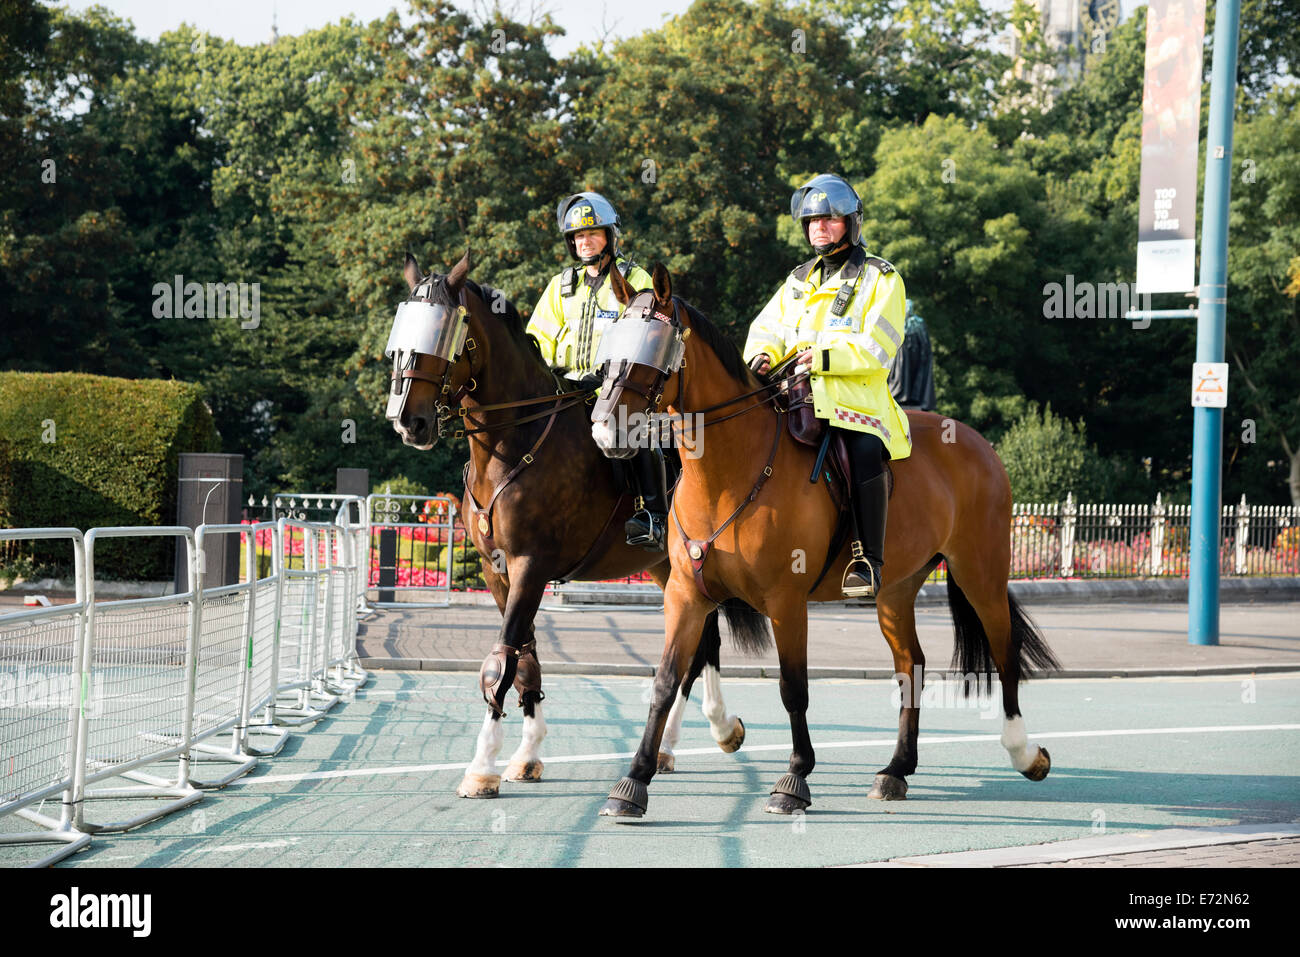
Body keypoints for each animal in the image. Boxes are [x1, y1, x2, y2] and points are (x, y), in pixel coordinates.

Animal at [387, 250, 769, 795]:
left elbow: (501, 661)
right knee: (700, 644)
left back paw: (716, 729)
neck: (515, 443)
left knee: (703, 645)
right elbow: (525, 657)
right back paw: (676, 743)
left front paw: (482, 765)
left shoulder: (530, 565)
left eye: (447, 333)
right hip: (667, 568)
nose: (408, 421)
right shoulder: (498, 572)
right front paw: (526, 753)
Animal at [590, 265, 1055, 816]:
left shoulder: (787, 601)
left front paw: (794, 777)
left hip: (979, 572)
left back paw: (1023, 751)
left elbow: (793, 688)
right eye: (610, 342)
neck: (730, 472)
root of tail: (976, 442)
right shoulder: (686, 595)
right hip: (896, 589)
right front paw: (634, 781)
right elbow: (663, 682)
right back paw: (896, 769)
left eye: (654, 346)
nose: (605, 429)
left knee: (1005, 651)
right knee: (911, 664)